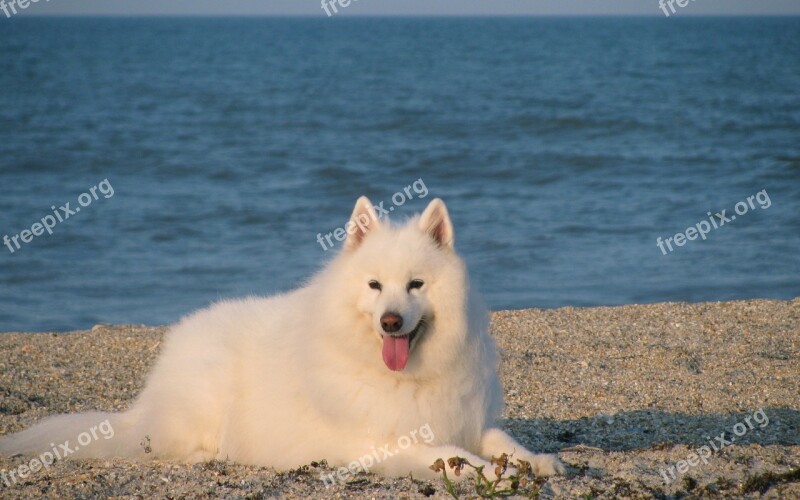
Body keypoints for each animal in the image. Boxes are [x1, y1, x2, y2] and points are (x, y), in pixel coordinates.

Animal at [0, 197, 564, 482]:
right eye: (374, 286)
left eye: (416, 285)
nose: (389, 322)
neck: (406, 376)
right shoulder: (385, 441)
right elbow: (453, 456)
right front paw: (492, 475)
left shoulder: (467, 418)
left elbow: (502, 441)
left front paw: (537, 460)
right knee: (169, 442)